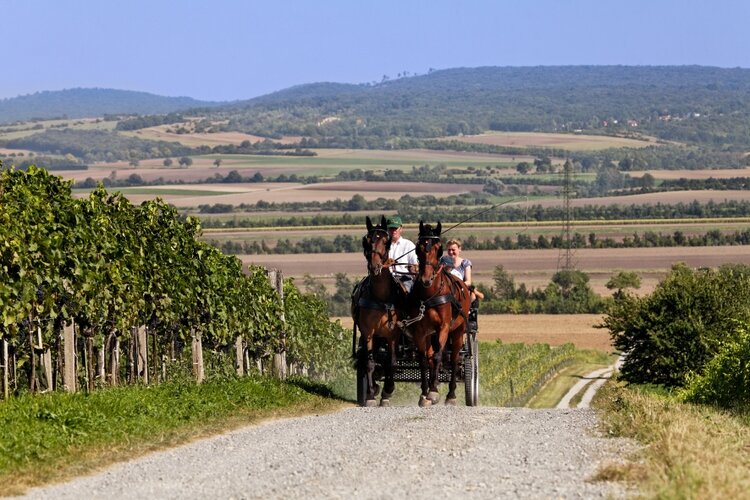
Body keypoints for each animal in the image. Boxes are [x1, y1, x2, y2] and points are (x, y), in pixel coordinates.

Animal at [354, 215, 406, 406]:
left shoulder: (393, 335)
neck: (381, 298)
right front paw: (370, 394)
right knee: (370, 359)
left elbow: (391, 363)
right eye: (367, 240)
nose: (375, 266)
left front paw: (387, 392)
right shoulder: (368, 332)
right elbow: (370, 363)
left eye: (386, 241)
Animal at [412, 222, 470, 406]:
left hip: (458, 331)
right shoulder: (420, 330)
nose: (425, 279)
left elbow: (438, 357)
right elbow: (424, 360)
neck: (430, 294)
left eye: (438, 248)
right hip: (430, 334)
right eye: (418, 247)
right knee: (431, 356)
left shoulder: (443, 327)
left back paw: (451, 395)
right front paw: (425, 393)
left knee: (454, 359)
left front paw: (433, 391)